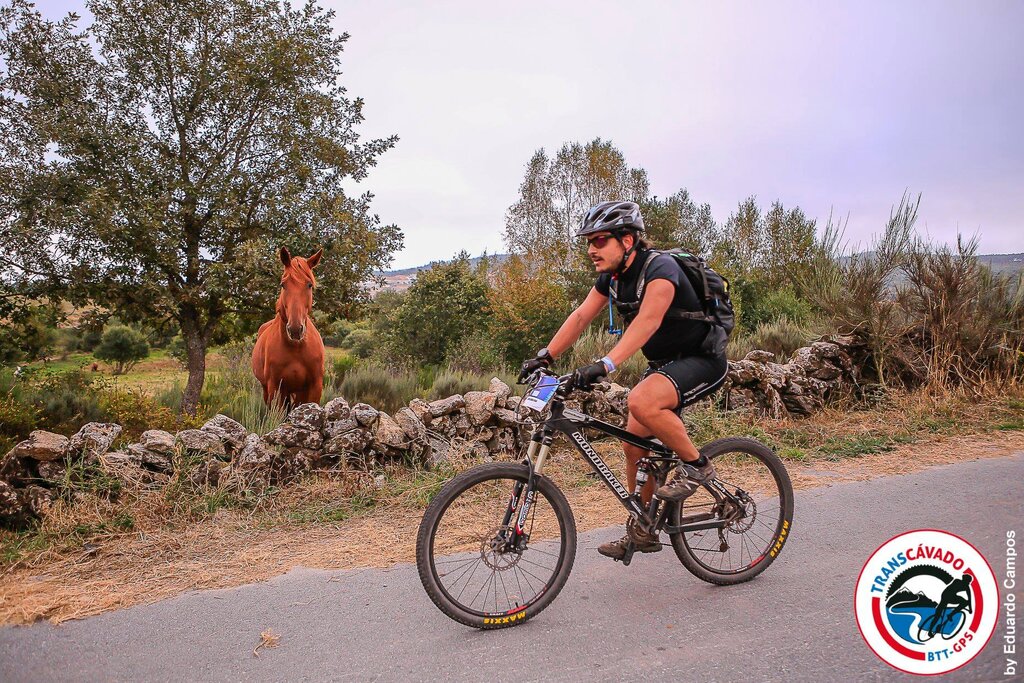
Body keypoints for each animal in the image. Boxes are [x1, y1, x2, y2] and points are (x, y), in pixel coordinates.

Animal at [251, 246, 323, 409]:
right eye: (283, 284)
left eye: (309, 284)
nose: (295, 329)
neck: (296, 347)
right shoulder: (276, 388)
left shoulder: (314, 388)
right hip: (269, 390)